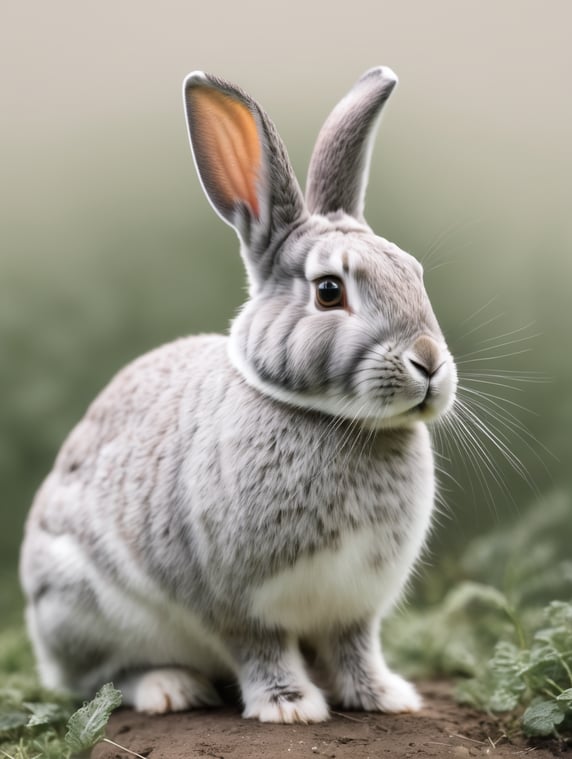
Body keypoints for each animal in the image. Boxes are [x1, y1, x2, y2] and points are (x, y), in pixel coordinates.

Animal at [20, 66, 457, 724]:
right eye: (329, 291)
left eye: (415, 273)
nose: (429, 363)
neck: (335, 421)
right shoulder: (235, 601)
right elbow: (260, 647)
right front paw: (291, 707)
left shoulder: (355, 604)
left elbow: (356, 647)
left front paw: (386, 697)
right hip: (85, 609)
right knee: (102, 679)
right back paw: (171, 688)